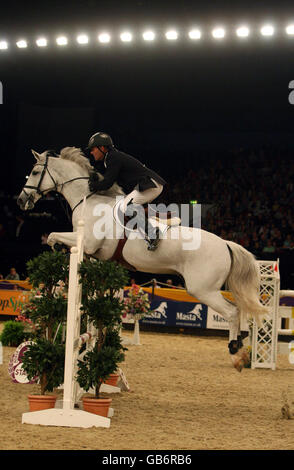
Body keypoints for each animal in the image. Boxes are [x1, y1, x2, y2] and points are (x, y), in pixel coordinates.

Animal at [17, 147, 268, 370]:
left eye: (35, 172)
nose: (21, 200)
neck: (88, 200)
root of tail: (226, 244)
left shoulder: (87, 242)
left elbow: (52, 236)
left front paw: (54, 248)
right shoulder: (96, 254)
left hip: (202, 289)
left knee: (232, 312)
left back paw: (236, 353)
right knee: (239, 310)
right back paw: (242, 350)